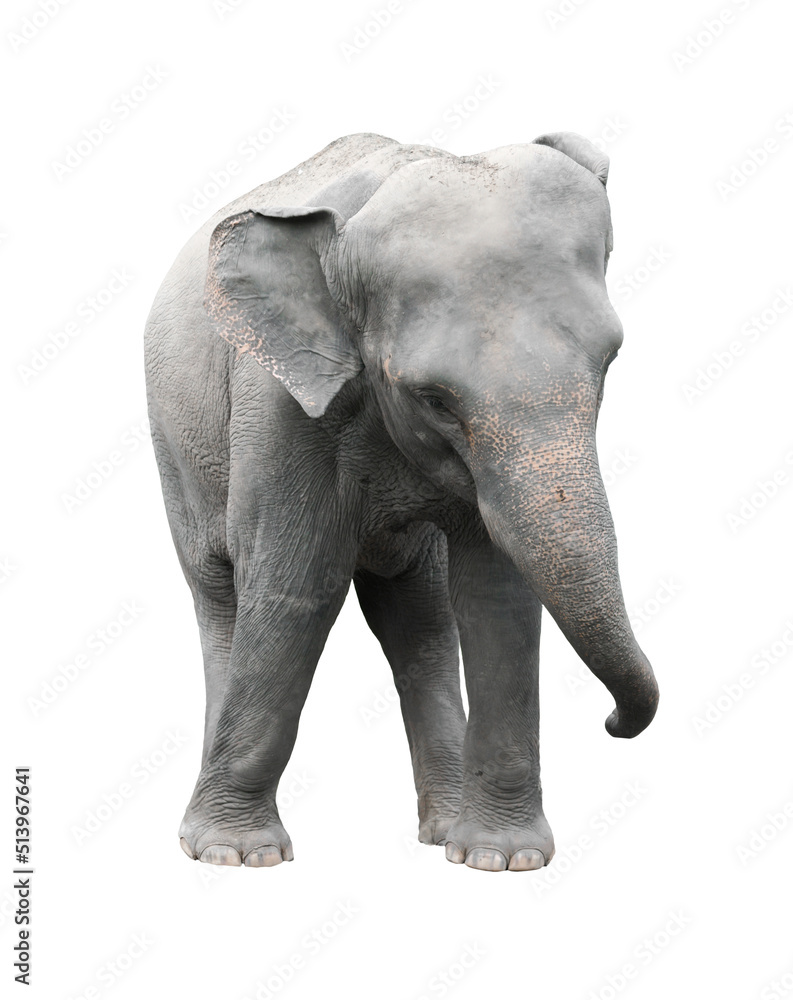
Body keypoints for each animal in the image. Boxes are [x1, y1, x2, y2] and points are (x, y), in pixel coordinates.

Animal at [144, 130, 658, 873]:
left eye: (609, 363)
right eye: (433, 398)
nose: (614, 721)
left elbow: (495, 592)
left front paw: (500, 860)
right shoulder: (281, 399)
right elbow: (295, 585)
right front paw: (238, 856)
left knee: (420, 615)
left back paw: (442, 831)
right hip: (175, 449)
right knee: (220, 595)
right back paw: (201, 837)